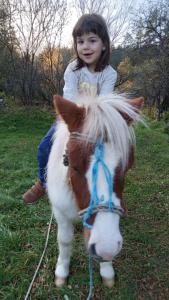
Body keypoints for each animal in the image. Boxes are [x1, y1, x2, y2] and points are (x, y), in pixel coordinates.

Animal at [46, 93, 144, 288]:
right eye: (72, 164)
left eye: (127, 166)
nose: (106, 248)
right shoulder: (60, 212)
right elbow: (64, 240)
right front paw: (62, 271)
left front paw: (107, 271)